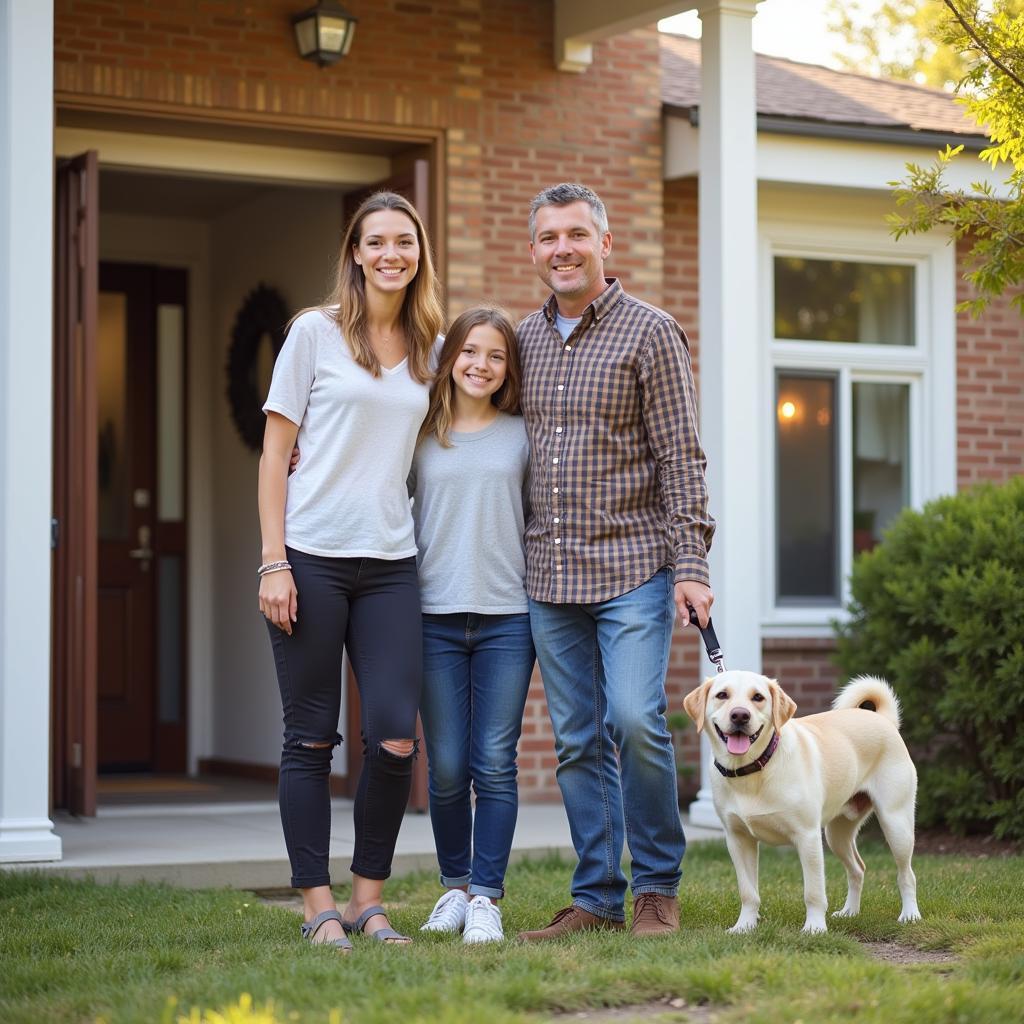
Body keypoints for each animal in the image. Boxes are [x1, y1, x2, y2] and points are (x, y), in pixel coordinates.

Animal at [684, 671, 925, 937]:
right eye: (722, 695)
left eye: (757, 697)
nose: (740, 715)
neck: (754, 769)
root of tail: (883, 720)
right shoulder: (738, 839)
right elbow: (748, 892)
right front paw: (744, 926)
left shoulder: (807, 836)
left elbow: (814, 892)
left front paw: (815, 928)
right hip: (837, 834)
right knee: (857, 869)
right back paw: (850, 912)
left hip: (896, 824)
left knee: (907, 874)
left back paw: (910, 915)